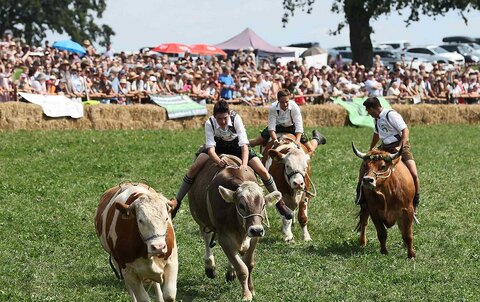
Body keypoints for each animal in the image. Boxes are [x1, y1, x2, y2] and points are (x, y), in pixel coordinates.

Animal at [189, 155, 284, 300]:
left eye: (263, 205)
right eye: (241, 205)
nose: (256, 230)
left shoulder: (254, 239)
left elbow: (248, 264)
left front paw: (251, 288)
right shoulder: (224, 238)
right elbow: (241, 268)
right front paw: (246, 294)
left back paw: (230, 272)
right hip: (202, 221)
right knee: (206, 238)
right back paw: (210, 267)